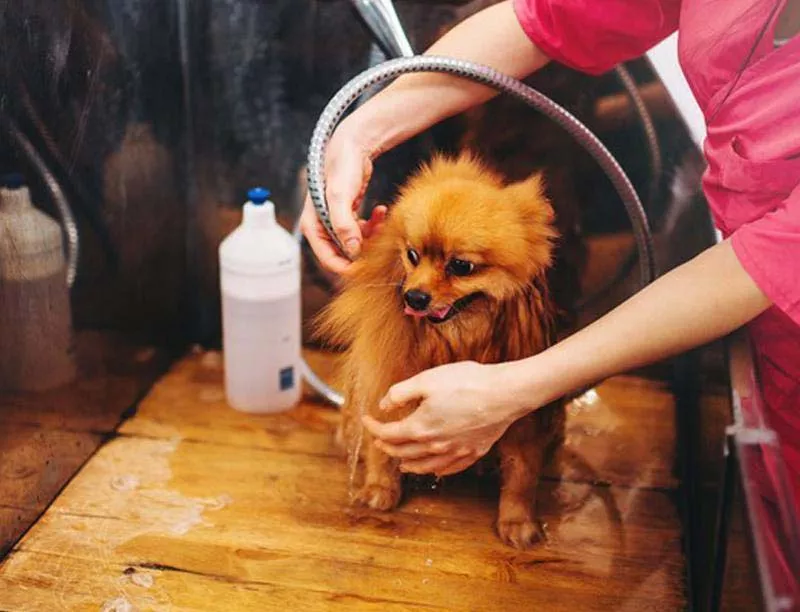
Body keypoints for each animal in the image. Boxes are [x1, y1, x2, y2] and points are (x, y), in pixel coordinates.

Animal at [312, 153, 564, 548]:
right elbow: (381, 445)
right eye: (412, 255)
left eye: (460, 266)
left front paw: (517, 522)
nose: (413, 296)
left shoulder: (523, 422)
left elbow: (522, 476)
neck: (454, 341)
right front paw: (380, 489)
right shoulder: (388, 386)